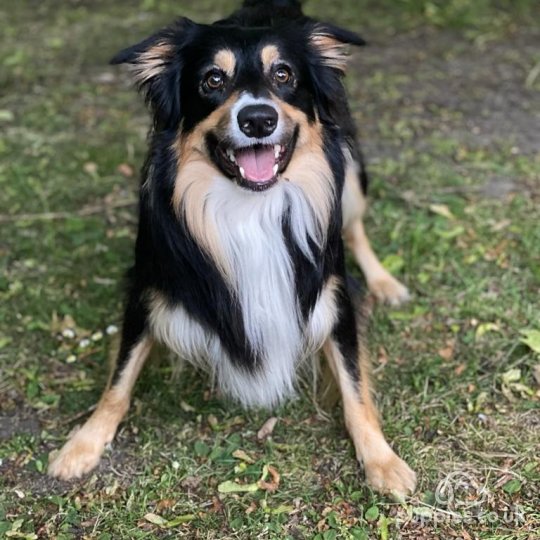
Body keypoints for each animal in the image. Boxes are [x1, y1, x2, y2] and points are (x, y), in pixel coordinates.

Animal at [48, 0, 416, 498]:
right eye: (212, 80)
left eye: (283, 74)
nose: (258, 119)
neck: (249, 207)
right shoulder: (148, 288)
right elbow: (119, 380)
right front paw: (82, 445)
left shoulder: (332, 297)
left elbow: (354, 384)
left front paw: (382, 460)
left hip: (351, 174)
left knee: (355, 226)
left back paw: (384, 282)